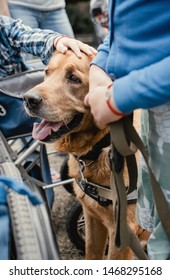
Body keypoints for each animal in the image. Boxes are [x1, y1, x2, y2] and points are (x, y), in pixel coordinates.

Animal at [23, 50, 147, 260]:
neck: (101, 146)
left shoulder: (123, 233)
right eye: (47, 72)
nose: (28, 99)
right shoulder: (91, 218)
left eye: (74, 78)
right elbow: (91, 253)